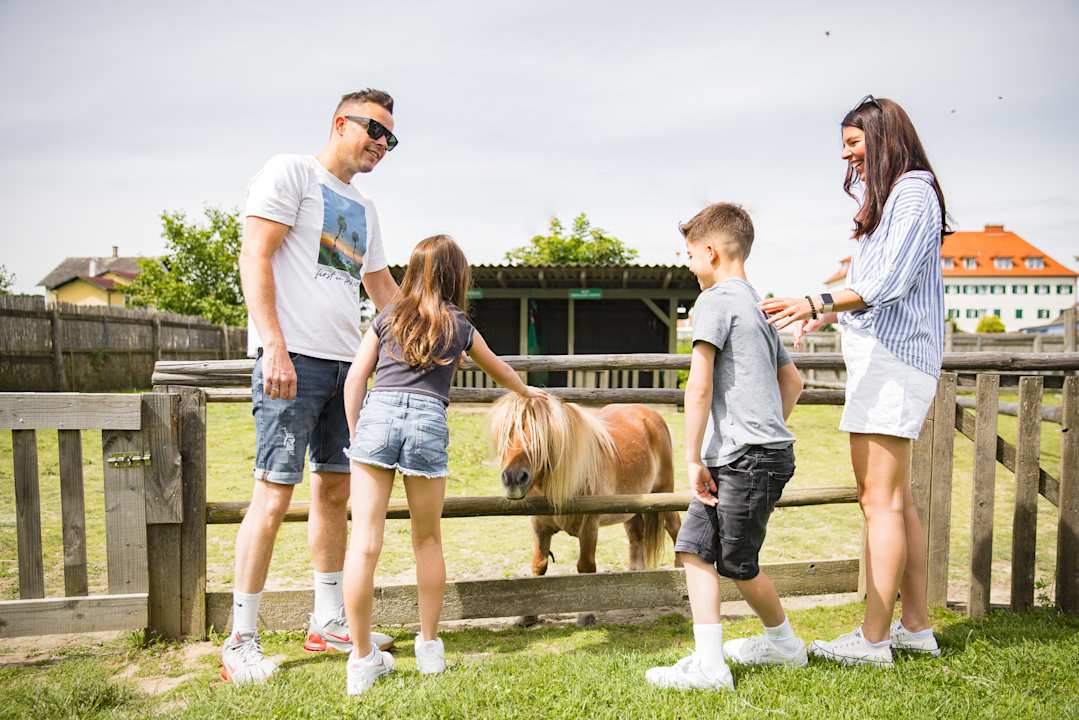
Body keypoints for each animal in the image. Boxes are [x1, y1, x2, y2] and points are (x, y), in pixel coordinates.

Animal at [490, 393, 682, 624]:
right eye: (506, 433)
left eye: (541, 437)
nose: (513, 478)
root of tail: (650, 414)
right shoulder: (539, 526)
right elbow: (538, 565)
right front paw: (528, 616)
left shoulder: (589, 526)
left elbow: (586, 566)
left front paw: (586, 614)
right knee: (636, 537)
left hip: (664, 495)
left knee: (675, 528)